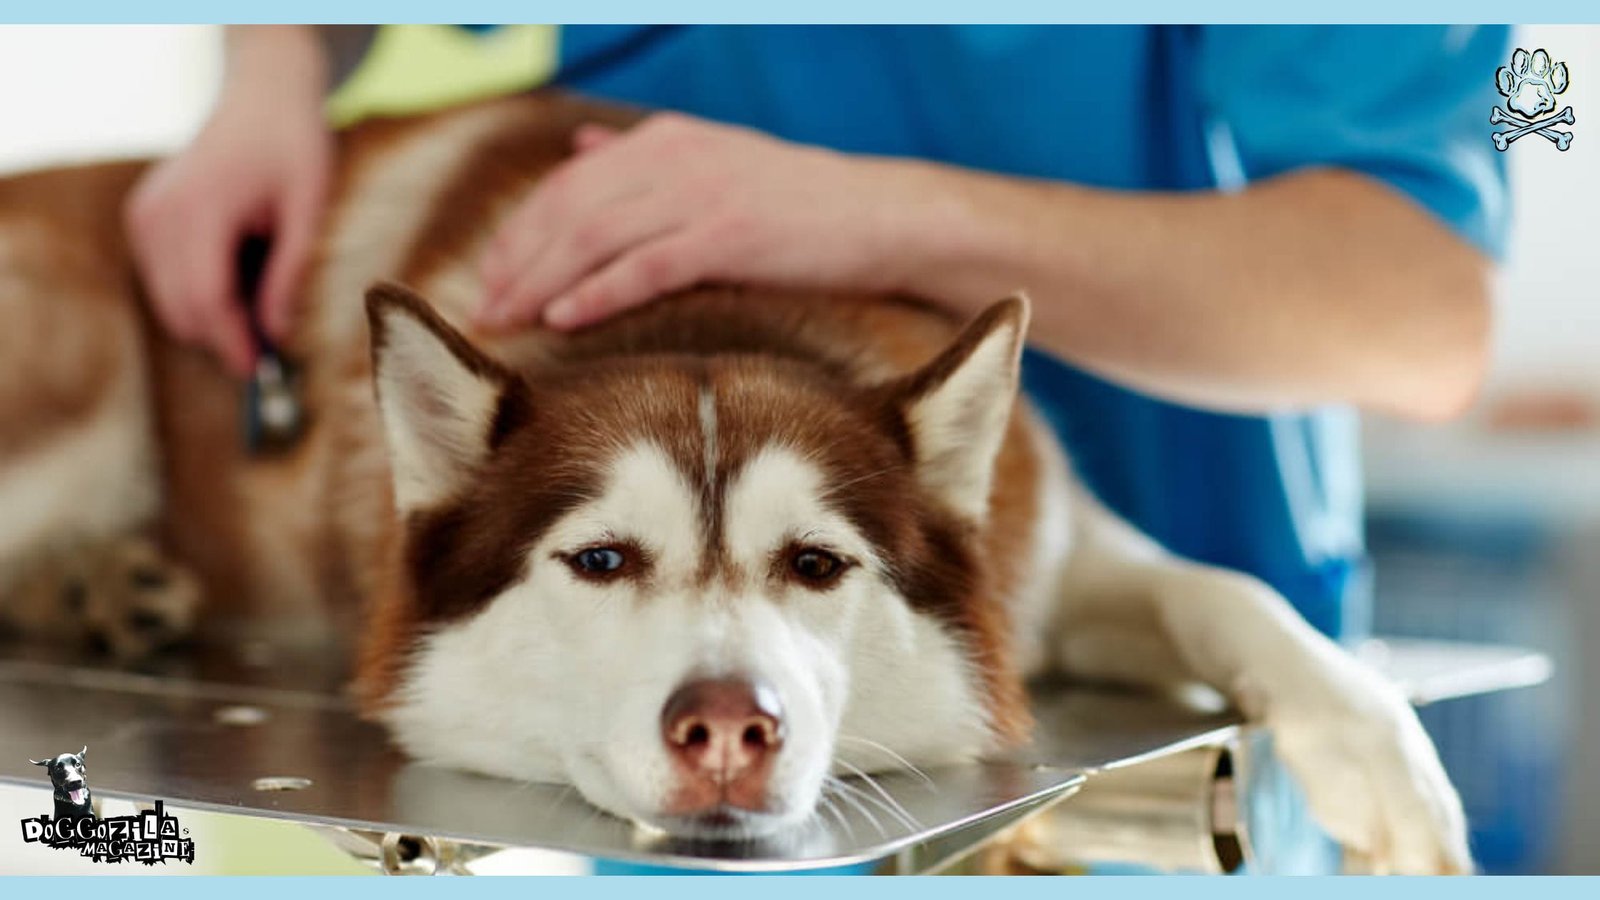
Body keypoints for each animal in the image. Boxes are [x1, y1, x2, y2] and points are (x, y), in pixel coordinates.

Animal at [0, 92, 1465, 871]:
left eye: (816, 565)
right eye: (600, 560)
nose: (725, 729)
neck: (711, 307)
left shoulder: (1052, 548)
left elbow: (1229, 593)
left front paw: (1383, 764)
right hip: (79, 355)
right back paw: (87, 585)